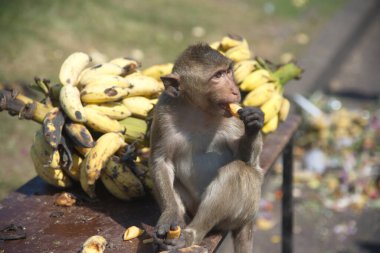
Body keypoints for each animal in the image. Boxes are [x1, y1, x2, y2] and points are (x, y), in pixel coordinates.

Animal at [149, 42, 264, 252]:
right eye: (217, 76)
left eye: (228, 71)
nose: (235, 90)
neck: (198, 111)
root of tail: (250, 219)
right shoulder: (163, 112)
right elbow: (161, 161)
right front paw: (169, 215)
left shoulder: (234, 114)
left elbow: (248, 161)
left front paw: (253, 125)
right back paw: (178, 225)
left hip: (245, 209)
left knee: (239, 171)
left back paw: (190, 235)